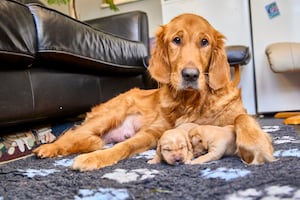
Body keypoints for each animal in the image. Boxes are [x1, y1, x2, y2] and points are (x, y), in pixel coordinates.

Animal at [34, 13, 276, 171]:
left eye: (204, 42)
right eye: (176, 40)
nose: (190, 75)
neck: (190, 102)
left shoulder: (236, 112)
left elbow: (243, 118)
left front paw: (256, 143)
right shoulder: (153, 132)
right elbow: (126, 145)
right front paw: (96, 158)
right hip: (108, 116)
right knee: (72, 135)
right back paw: (48, 148)